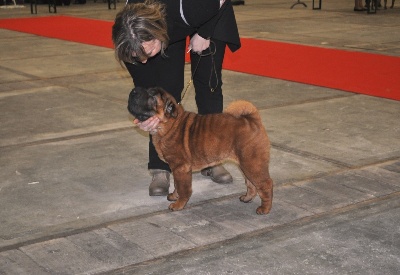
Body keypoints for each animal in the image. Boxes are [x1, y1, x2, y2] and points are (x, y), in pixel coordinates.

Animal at [127, 87, 272, 215]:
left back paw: (264, 209)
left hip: (252, 164)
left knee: (266, 184)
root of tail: (252, 120)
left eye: (152, 95)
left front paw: (178, 205)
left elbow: (183, 188)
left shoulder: (181, 168)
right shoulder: (176, 169)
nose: (134, 90)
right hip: (246, 164)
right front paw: (174, 196)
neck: (169, 125)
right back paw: (247, 198)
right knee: (251, 183)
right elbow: (177, 184)